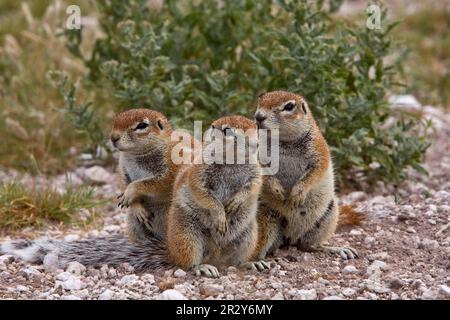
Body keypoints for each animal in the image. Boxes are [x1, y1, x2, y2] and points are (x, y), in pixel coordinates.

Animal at [167, 115, 268, 278]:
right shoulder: (199, 171)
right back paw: (201, 267)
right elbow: (202, 192)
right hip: (185, 233)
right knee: (187, 261)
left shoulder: (256, 172)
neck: (232, 160)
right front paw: (220, 215)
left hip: (249, 236)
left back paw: (251, 263)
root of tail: (216, 253)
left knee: (236, 262)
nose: (256, 144)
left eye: (256, 127)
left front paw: (236, 201)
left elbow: (253, 186)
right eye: (227, 131)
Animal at [253, 90, 358, 260]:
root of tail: (289, 238)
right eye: (260, 101)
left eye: (289, 106)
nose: (258, 116)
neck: (283, 141)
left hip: (328, 215)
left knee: (307, 246)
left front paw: (298, 192)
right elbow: (263, 172)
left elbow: (316, 171)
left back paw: (335, 249)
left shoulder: (319, 149)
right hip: (265, 217)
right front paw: (277, 190)